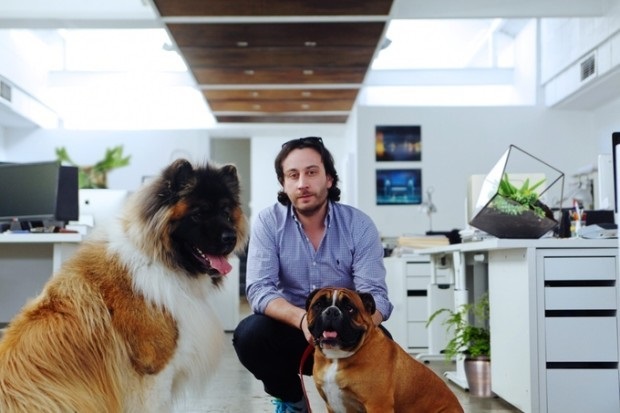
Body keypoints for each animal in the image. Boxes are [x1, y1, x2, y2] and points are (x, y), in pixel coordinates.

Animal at [306, 287, 464, 413]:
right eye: (318, 305)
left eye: (349, 308)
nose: (332, 311)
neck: (337, 357)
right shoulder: (332, 405)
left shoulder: (377, 405)